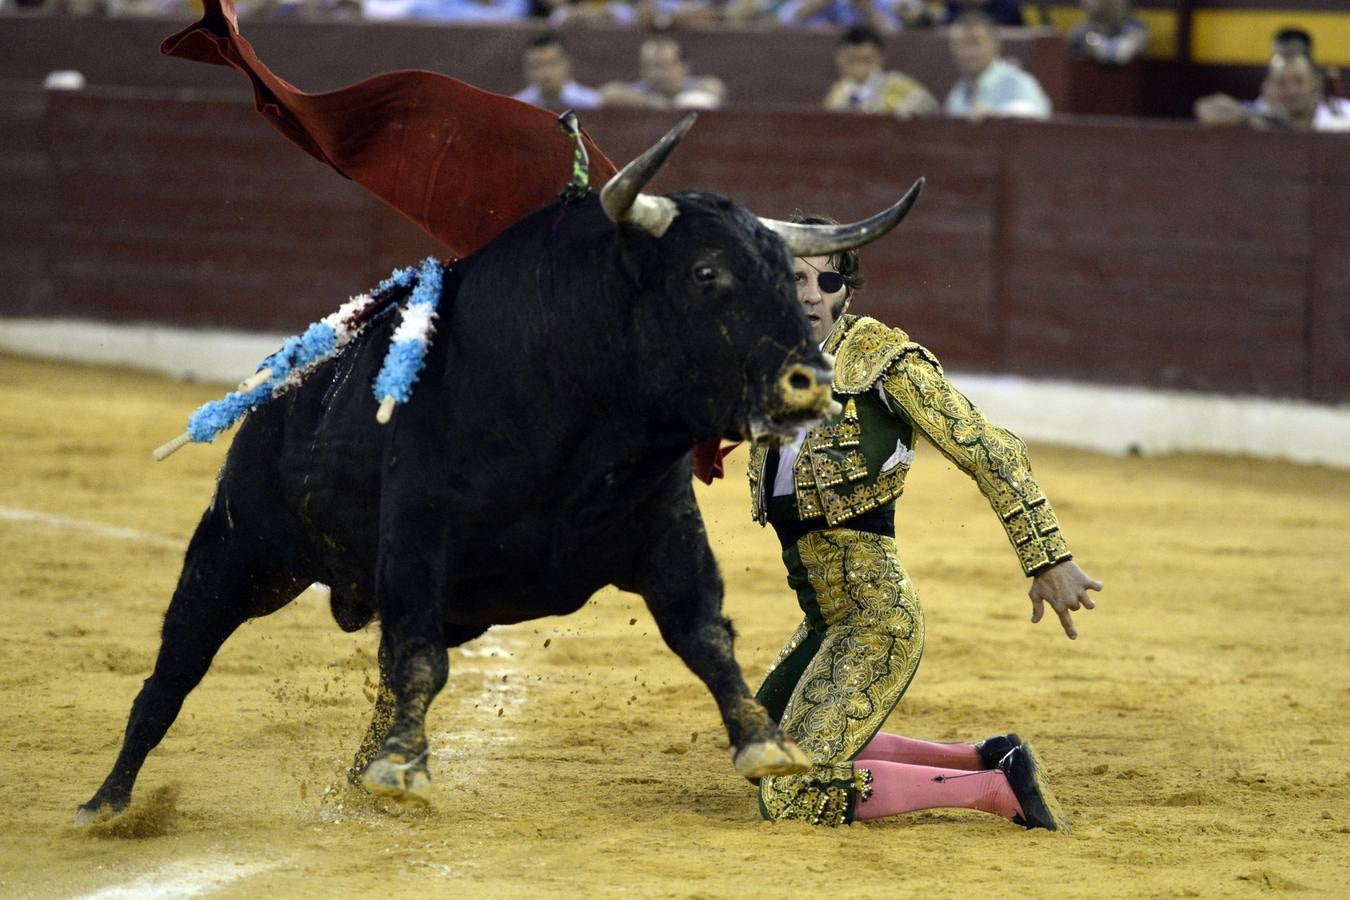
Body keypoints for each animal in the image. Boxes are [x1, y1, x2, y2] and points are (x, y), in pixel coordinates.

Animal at [73, 144, 918, 820]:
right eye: (707, 273)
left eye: (791, 277)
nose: (812, 381)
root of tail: (280, 393)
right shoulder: (417, 535)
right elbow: (421, 658)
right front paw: (404, 769)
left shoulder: (666, 529)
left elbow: (704, 632)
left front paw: (764, 742)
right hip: (238, 552)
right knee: (174, 670)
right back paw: (108, 803)